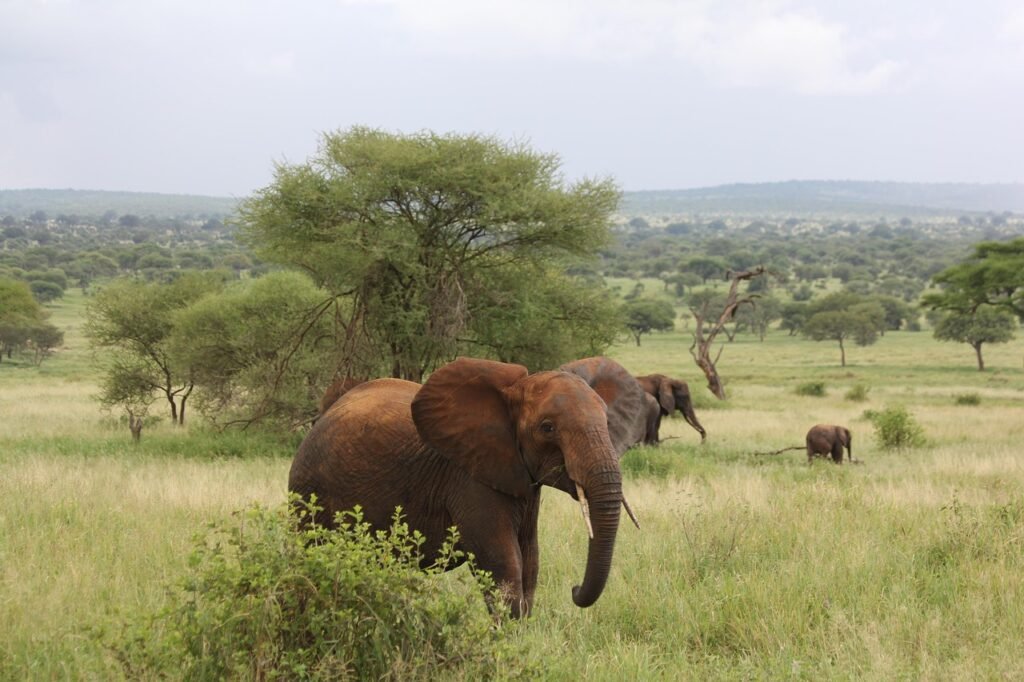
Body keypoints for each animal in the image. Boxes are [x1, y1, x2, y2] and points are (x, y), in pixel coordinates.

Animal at [288, 357, 626, 618]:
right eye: (547, 428)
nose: (574, 589)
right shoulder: (468, 479)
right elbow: (504, 566)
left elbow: (530, 563)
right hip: (308, 491)